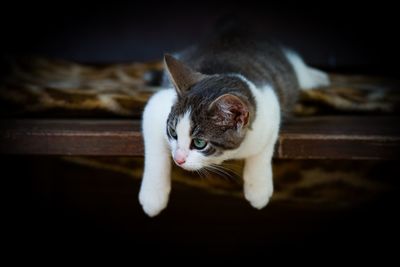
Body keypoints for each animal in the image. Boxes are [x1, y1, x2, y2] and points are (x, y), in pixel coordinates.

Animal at [138, 25, 328, 218]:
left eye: (199, 143)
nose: (178, 159)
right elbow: (154, 149)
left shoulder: (270, 110)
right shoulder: (156, 107)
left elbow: (264, 147)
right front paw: (153, 197)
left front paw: (258, 188)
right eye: (173, 132)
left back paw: (318, 77)